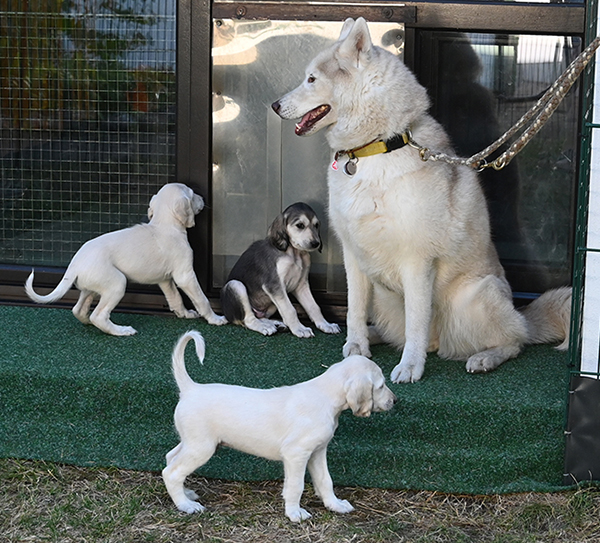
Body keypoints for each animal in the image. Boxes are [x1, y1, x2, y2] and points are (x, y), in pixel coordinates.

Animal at [24, 183, 227, 336]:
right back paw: (121, 331)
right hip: (117, 283)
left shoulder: (165, 279)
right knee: (99, 315)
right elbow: (202, 299)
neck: (164, 224)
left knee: (79, 310)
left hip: (91, 287)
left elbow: (175, 297)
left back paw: (88, 321)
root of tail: (74, 265)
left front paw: (184, 313)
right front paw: (215, 319)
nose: (204, 199)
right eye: (193, 195)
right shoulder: (185, 275)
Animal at [162, 330, 396, 524]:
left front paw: (335, 505)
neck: (325, 396)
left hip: (191, 443)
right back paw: (186, 505)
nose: (395, 401)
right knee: (171, 472)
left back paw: (186, 493)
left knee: (170, 459)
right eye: (381, 385)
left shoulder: (318, 451)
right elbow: (295, 486)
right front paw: (295, 513)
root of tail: (191, 388)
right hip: (201, 447)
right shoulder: (296, 454)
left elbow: (325, 481)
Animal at [221, 202, 342, 338]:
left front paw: (325, 325)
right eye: (300, 225)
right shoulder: (273, 285)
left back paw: (275, 324)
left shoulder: (301, 285)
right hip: (235, 285)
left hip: (271, 305)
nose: (316, 243)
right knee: (249, 320)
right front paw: (299, 329)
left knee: (260, 317)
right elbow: (290, 310)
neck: (295, 254)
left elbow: (314, 306)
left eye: (316, 225)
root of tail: (226, 314)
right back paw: (264, 327)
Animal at [274, 19, 572, 384]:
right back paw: (372, 337)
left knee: (514, 341)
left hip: (476, 297)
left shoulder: (417, 262)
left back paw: (485, 357)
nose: (274, 105)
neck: (374, 149)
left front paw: (409, 367)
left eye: (312, 79)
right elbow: (356, 310)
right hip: (384, 294)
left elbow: (417, 321)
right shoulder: (353, 255)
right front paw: (356, 347)